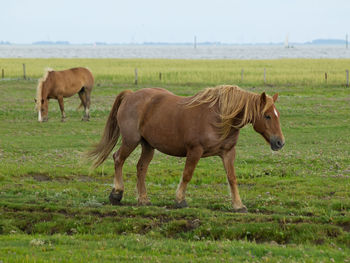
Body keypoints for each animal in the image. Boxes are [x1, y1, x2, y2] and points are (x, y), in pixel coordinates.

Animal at [87, 85, 284, 213]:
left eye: (277, 115)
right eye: (267, 116)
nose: (280, 143)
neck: (218, 118)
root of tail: (130, 95)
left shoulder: (228, 153)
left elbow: (232, 178)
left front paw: (238, 205)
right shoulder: (195, 151)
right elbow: (187, 175)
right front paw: (180, 200)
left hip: (148, 145)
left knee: (141, 167)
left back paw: (143, 199)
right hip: (130, 141)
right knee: (118, 159)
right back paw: (116, 194)